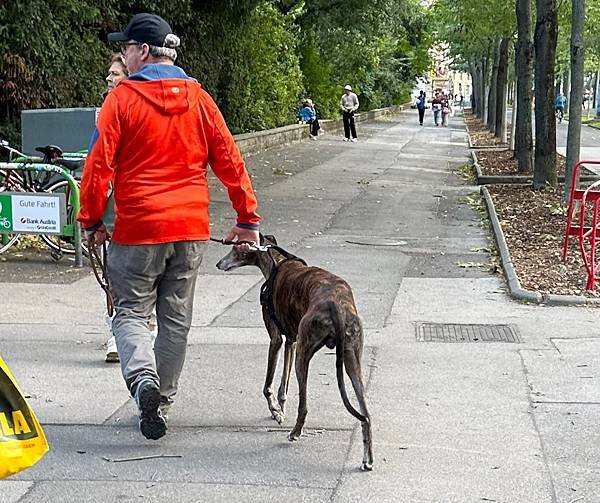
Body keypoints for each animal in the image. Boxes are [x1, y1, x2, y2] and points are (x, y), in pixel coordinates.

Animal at [218, 236, 372, 472]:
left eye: (235, 248)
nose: (219, 264)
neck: (277, 262)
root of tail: (335, 305)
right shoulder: (292, 341)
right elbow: (284, 385)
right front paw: (279, 410)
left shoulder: (276, 340)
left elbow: (268, 385)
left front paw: (276, 412)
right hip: (351, 360)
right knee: (367, 414)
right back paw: (367, 459)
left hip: (304, 355)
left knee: (304, 405)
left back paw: (295, 433)